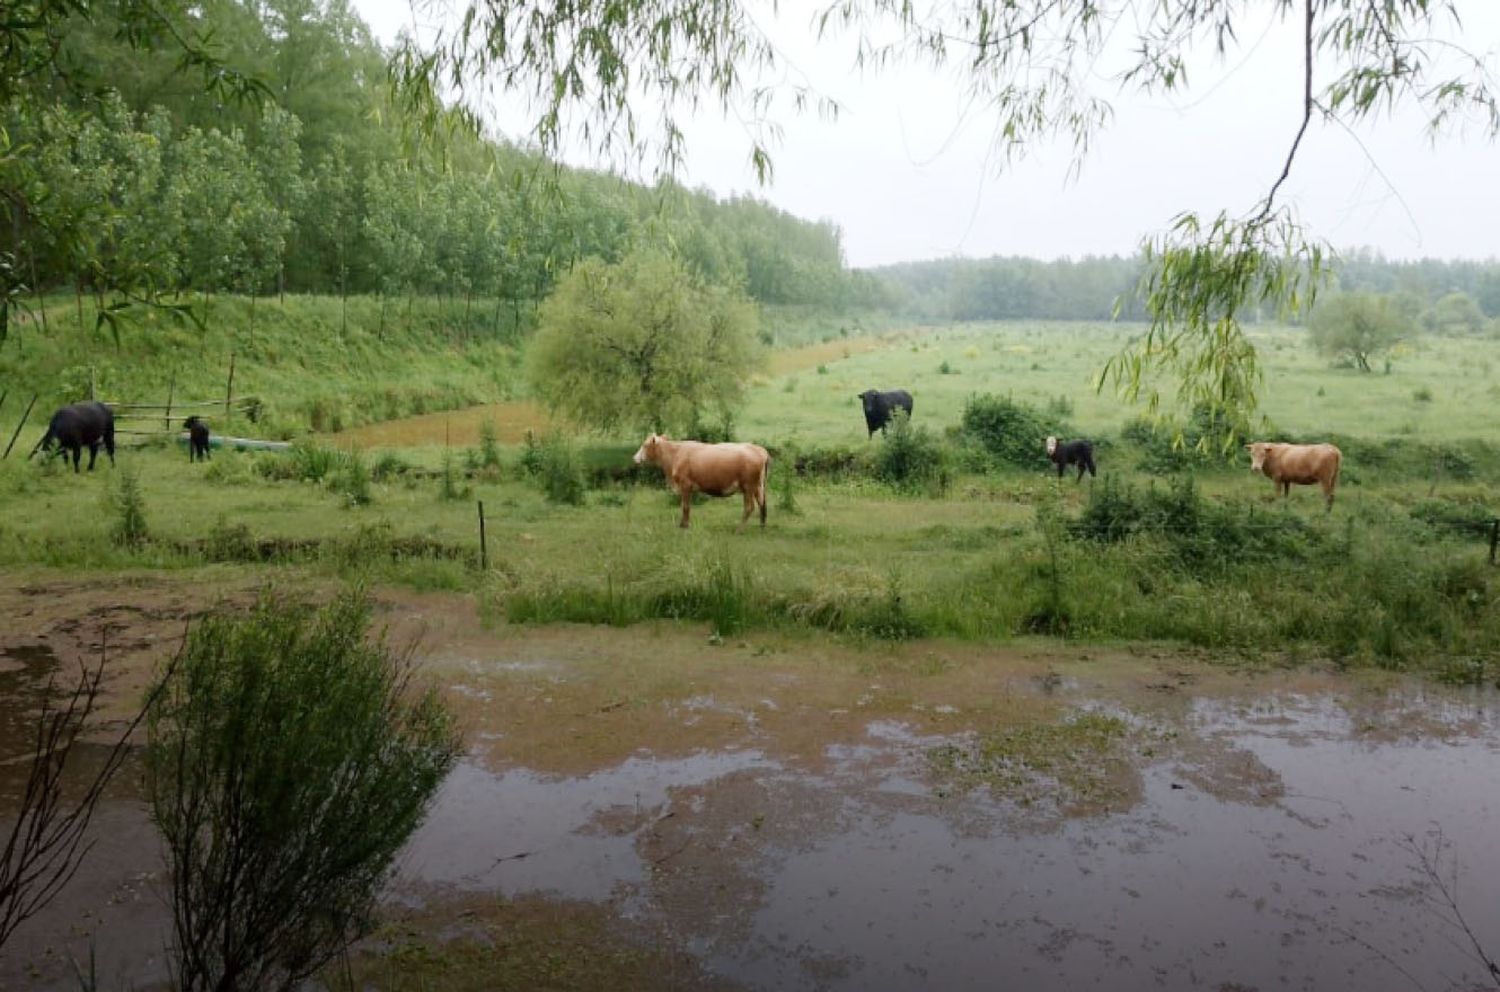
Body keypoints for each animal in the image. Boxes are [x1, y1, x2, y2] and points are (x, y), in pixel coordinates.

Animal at [633, 432, 774, 531]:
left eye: (645, 445)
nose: (635, 458)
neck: (675, 454)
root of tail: (759, 449)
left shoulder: (685, 485)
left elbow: (685, 507)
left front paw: (684, 526)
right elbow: (686, 506)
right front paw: (683, 524)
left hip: (748, 486)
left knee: (750, 507)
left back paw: (739, 530)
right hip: (758, 486)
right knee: (762, 504)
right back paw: (762, 527)